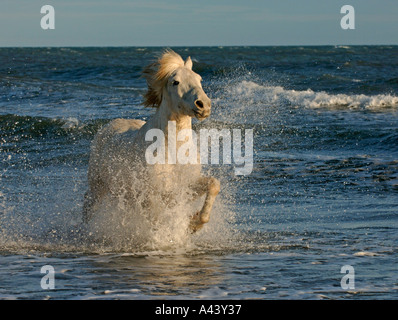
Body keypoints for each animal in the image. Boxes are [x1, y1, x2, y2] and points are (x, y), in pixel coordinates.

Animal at [84, 50, 221, 234]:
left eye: (199, 79)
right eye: (175, 82)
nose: (203, 105)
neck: (172, 150)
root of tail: (107, 127)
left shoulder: (186, 185)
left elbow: (213, 184)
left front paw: (195, 222)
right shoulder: (155, 194)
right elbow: (158, 219)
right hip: (97, 186)